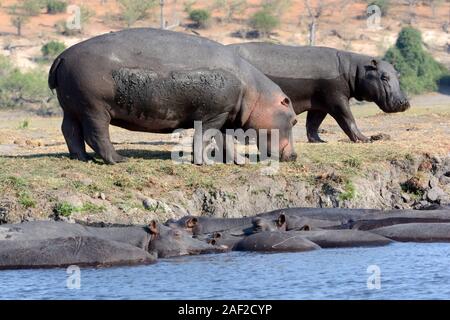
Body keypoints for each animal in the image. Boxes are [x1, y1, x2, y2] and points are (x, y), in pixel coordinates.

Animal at [48, 28, 298, 165]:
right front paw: (201, 163)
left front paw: (240, 162)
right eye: (294, 120)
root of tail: (62, 55)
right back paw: (118, 160)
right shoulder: (214, 115)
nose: (295, 156)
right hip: (95, 108)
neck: (256, 94)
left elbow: (225, 142)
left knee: (70, 131)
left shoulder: (225, 117)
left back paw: (82, 159)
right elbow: (204, 137)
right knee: (97, 134)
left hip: (72, 107)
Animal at [230, 43, 410, 143]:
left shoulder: (319, 104)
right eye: (384, 76)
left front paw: (319, 141)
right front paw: (366, 139)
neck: (355, 70)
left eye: (398, 74)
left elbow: (313, 123)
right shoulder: (336, 98)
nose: (404, 102)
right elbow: (347, 118)